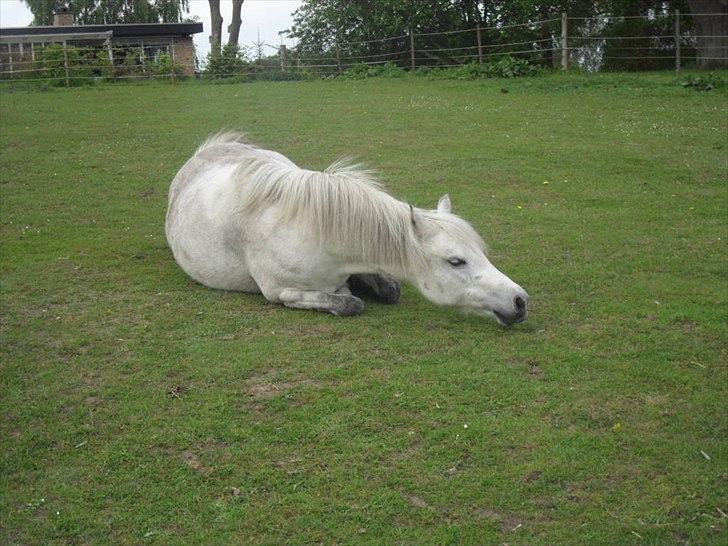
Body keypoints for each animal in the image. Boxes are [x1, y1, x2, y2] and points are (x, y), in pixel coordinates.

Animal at [165, 133, 528, 325]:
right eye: (456, 261)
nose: (520, 300)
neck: (318, 234)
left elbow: (390, 290)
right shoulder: (279, 291)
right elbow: (349, 303)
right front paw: (346, 295)